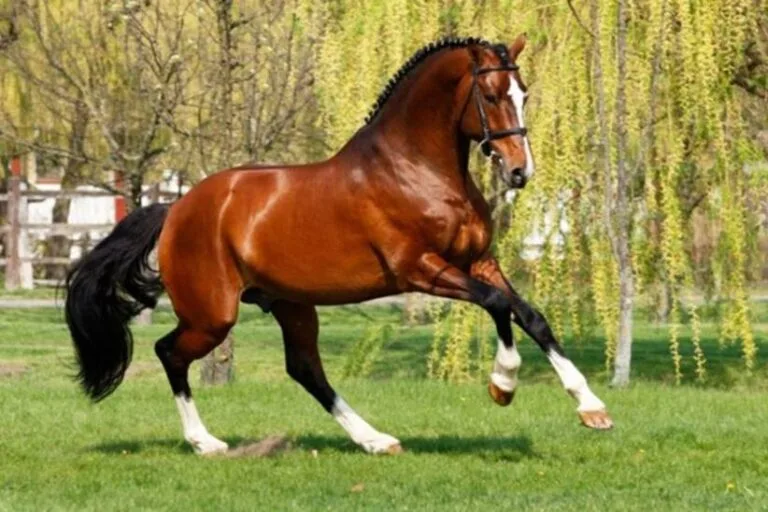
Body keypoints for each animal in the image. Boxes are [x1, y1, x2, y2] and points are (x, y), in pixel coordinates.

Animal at [64, 35, 613, 456]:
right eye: (494, 94)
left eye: (524, 93)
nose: (521, 172)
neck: (417, 170)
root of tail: (176, 208)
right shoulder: (422, 269)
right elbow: (499, 306)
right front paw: (503, 385)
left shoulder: (478, 261)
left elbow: (531, 315)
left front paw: (592, 409)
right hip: (213, 314)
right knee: (169, 352)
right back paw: (206, 442)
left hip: (290, 304)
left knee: (306, 370)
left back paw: (375, 440)